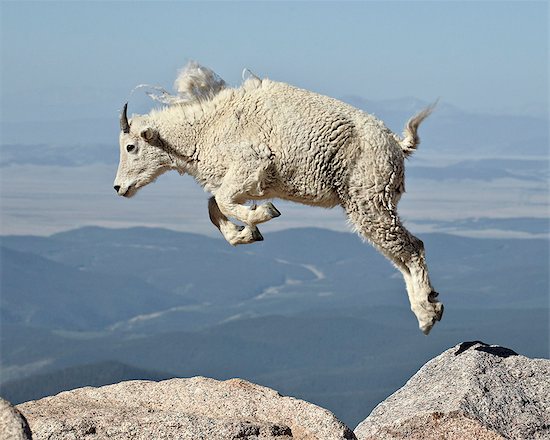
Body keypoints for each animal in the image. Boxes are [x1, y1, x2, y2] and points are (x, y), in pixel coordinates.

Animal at [114, 60, 446, 332]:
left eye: (130, 147)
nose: (119, 188)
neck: (205, 130)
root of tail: (397, 145)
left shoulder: (250, 164)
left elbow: (221, 201)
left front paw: (262, 215)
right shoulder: (245, 181)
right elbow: (214, 206)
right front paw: (246, 233)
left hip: (368, 197)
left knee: (412, 247)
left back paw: (428, 314)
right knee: (398, 254)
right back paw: (426, 305)